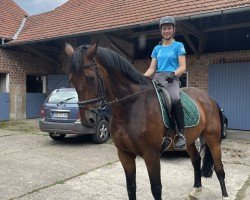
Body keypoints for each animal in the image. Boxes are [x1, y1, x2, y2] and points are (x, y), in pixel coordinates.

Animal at [65, 42, 229, 200]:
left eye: (90, 78)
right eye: (71, 80)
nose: (88, 120)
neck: (131, 107)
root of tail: (209, 98)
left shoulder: (151, 155)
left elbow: (156, 189)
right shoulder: (124, 154)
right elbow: (131, 187)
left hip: (212, 139)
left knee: (219, 168)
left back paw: (225, 195)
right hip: (189, 140)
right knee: (196, 160)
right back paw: (196, 190)